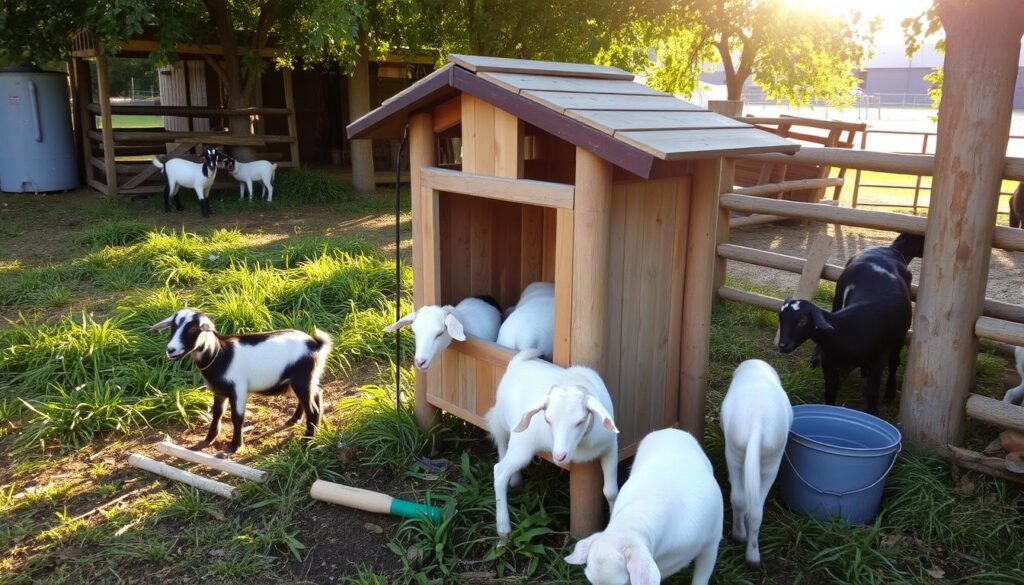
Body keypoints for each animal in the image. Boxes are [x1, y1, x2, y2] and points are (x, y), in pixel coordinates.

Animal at [150, 309, 331, 454]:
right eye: (173, 327)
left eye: (193, 328)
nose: (171, 350)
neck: (220, 355)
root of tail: (316, 344)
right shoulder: (219, 391)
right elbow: (217, 413)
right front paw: (208, 439)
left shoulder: (238, 388)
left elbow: (237, 417)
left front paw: (235, 446)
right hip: (307, 378)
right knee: (317, 394)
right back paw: (296, 420)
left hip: (302, 378)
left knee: (312, 408)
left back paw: (307, 441)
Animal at [485, 348, 618, 540]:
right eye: (547, 419)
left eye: (580, 421)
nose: (559, 456)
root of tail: (517, 362)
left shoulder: (610, 447)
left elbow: (611, 491)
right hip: (518, 438)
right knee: (500, 466)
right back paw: (503, 528)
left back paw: (515, 480)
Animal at [720, 358, 790, 569]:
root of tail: (757, 425)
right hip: (771, 463)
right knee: (755, 510)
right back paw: (752, 556)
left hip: (734, 453)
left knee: (740, 500)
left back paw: (740, 538)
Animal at [774, 244, 913, 413]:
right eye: (780, 317)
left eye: (802, 321)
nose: (783, 345)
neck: (845, 331)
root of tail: (884, 249)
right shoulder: (829, 364)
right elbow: (830, 392)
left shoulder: (877, 362)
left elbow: (872, 394)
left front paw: (874, 412)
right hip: (838, 297)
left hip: (900, 337)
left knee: (894, 362)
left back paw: (889, 394)